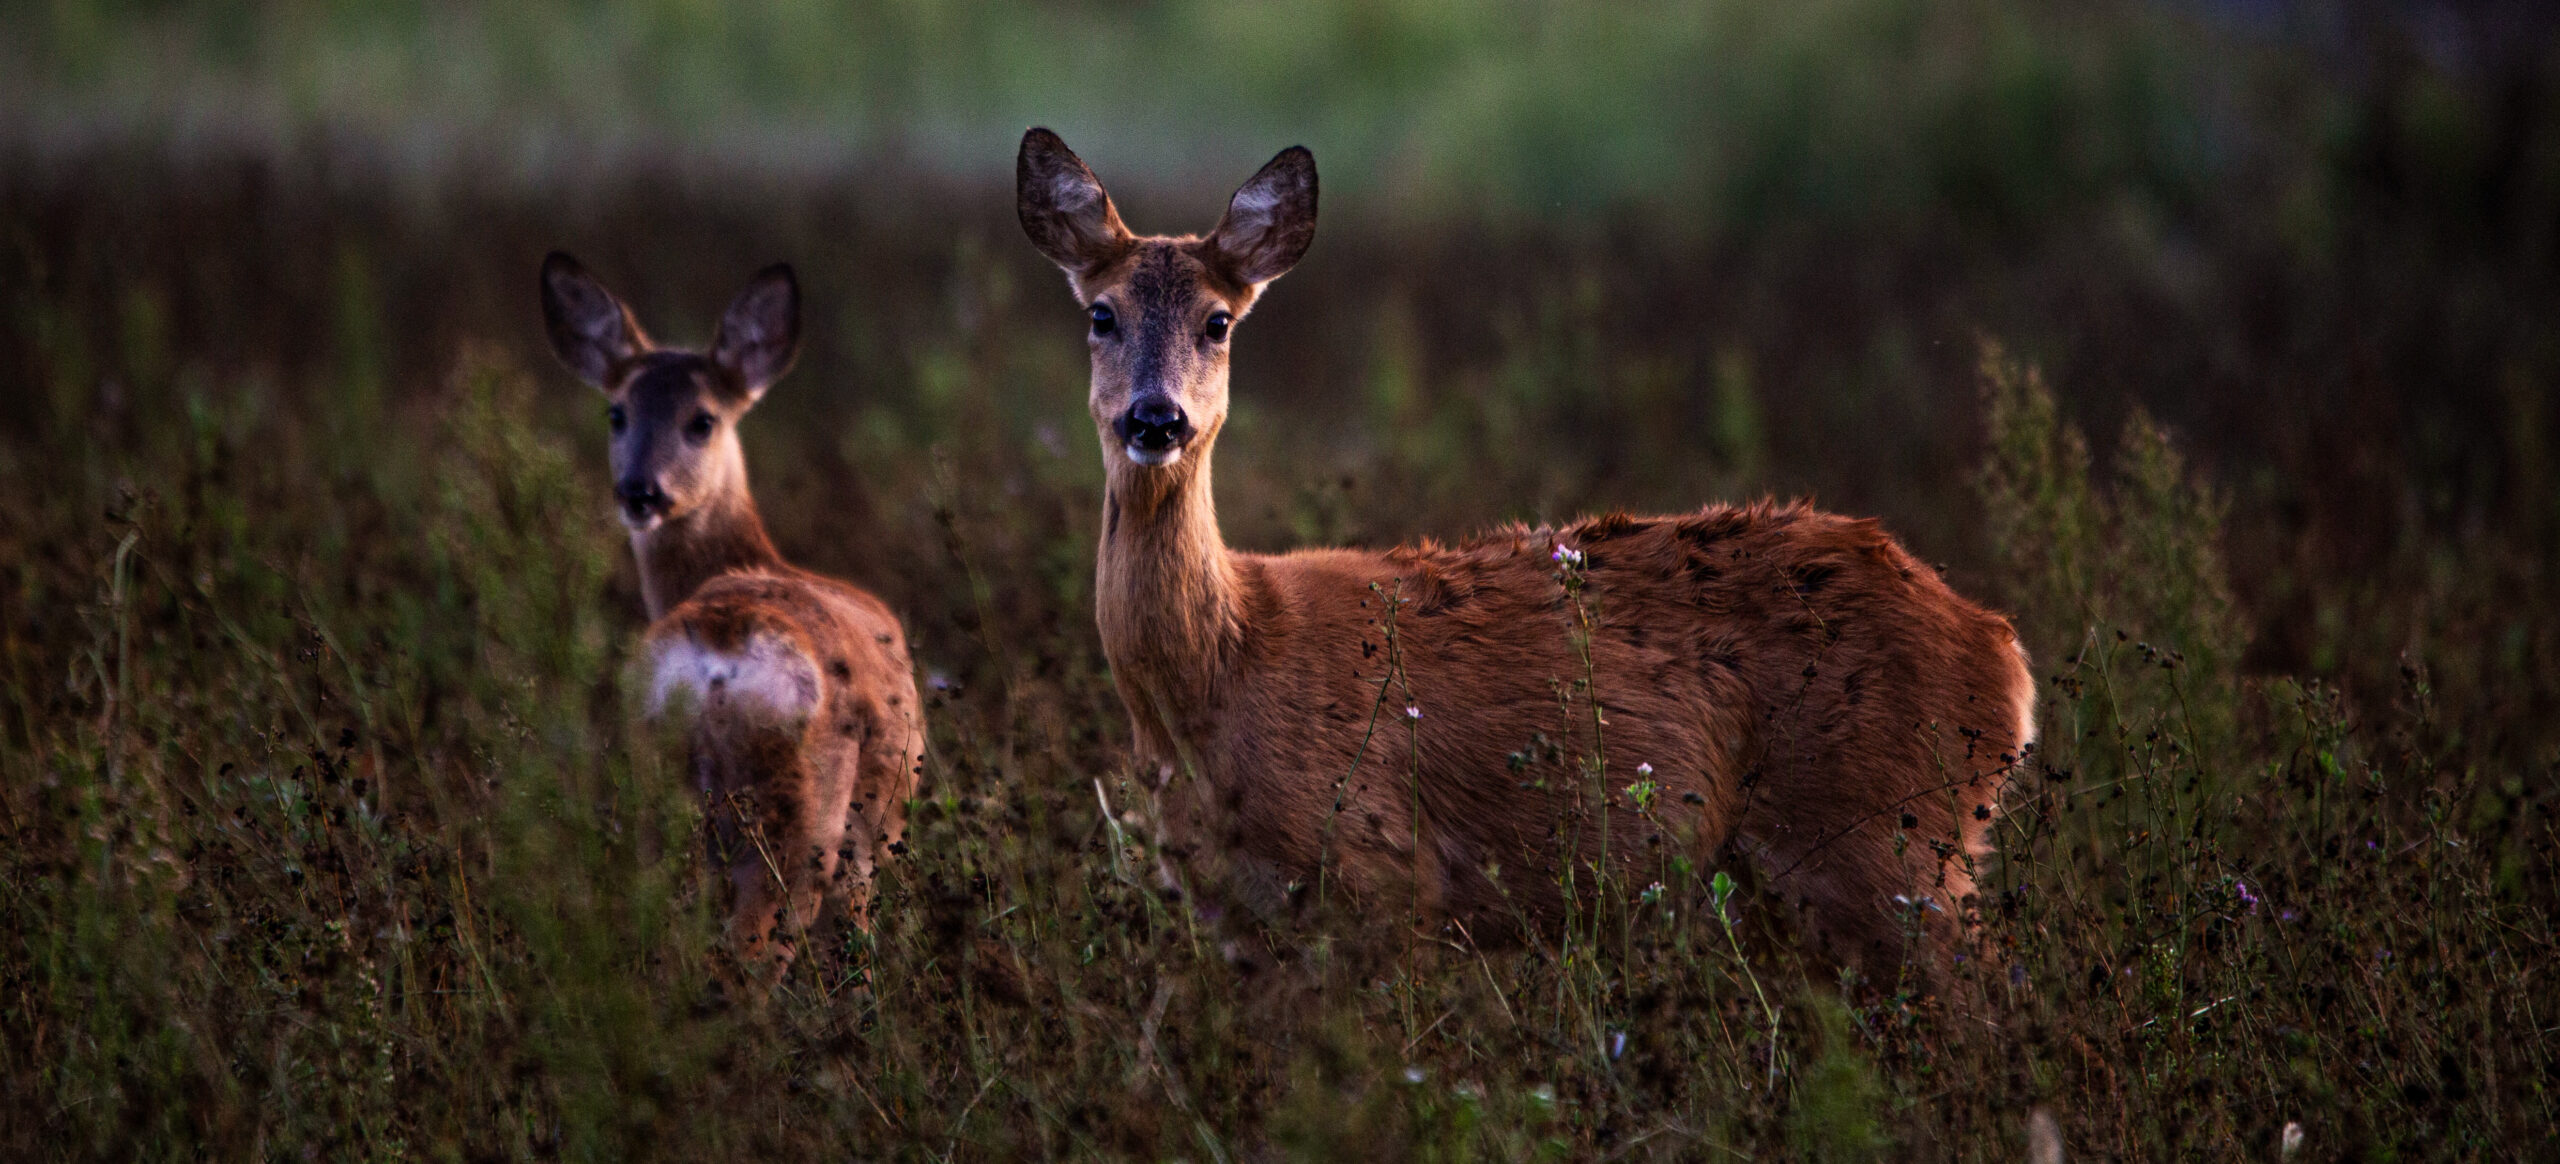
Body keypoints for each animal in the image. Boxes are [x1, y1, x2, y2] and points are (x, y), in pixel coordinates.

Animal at [535, 255, 926, 982]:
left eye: (702, 419)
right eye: (617, 412)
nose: (640, 492)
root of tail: (718, 659)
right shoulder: (879, 828)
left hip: (659, 798)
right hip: (801, 820)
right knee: (753, 955)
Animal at [1018, 125, 2037, 982]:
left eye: (1219, 321)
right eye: (1101, 315)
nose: (1157, 419)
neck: (1223, 675)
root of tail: (2004, 657)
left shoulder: (1386, 877)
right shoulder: (1236, 924)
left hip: (1885, 843)